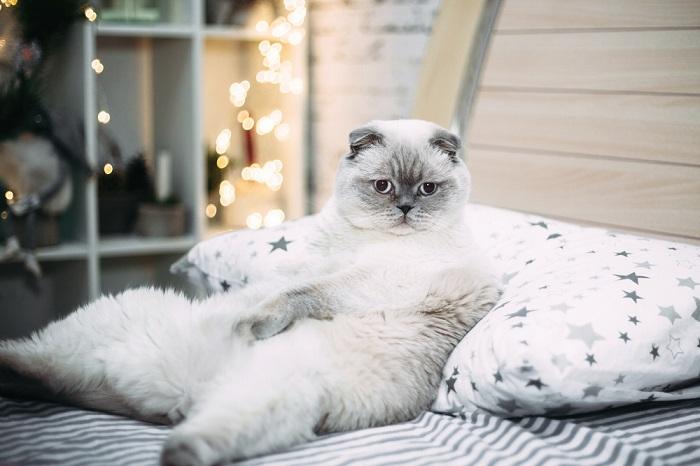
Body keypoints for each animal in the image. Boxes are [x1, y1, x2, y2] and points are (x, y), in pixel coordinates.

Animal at [1, 118, 504, 464]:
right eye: (382, 186)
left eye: (427, 188)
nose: (404, 208)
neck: (366, 240)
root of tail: (184, 398)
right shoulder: (317, 265)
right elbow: (288, 282)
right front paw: (247, 309)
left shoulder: (375, 280)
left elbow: (299, 293)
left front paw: (253, 322)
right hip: (91, 337)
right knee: (35, 362)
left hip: (268, 397)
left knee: (191, 439)